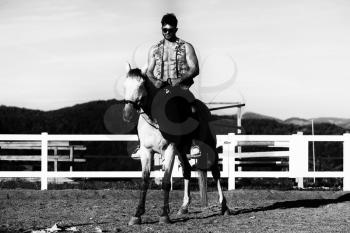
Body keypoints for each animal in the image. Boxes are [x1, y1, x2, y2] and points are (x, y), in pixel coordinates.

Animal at [121, 65, 231, 226]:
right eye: (124, 86)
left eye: (141, 85)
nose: (127, 114)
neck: (155, 119)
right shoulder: (147, 151)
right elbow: (144, 181)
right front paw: (137, 215)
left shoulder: (170, 148)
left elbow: (166, 181)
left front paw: (164, 215)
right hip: (181, 151)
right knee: (187, 171)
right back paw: (184, 207)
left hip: (208, 146)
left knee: (216, 173)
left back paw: (224, 207)